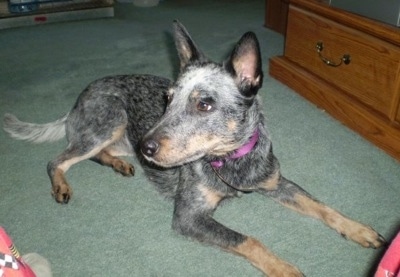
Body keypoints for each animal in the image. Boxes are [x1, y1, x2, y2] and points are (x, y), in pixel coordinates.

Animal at [2, 21, 384, 276]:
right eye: (167, 99)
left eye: (204, 104)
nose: (147, 147)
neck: (229, 163)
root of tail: (79, 98)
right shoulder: (189, 217)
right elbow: (249, 240)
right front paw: (286, 269)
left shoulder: (274, 182)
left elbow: (322, 206)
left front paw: (357, 228)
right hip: (109, 121)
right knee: (57, 160)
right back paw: (63, 185)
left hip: (118, 137)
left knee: (94, 154)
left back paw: (120, 164)